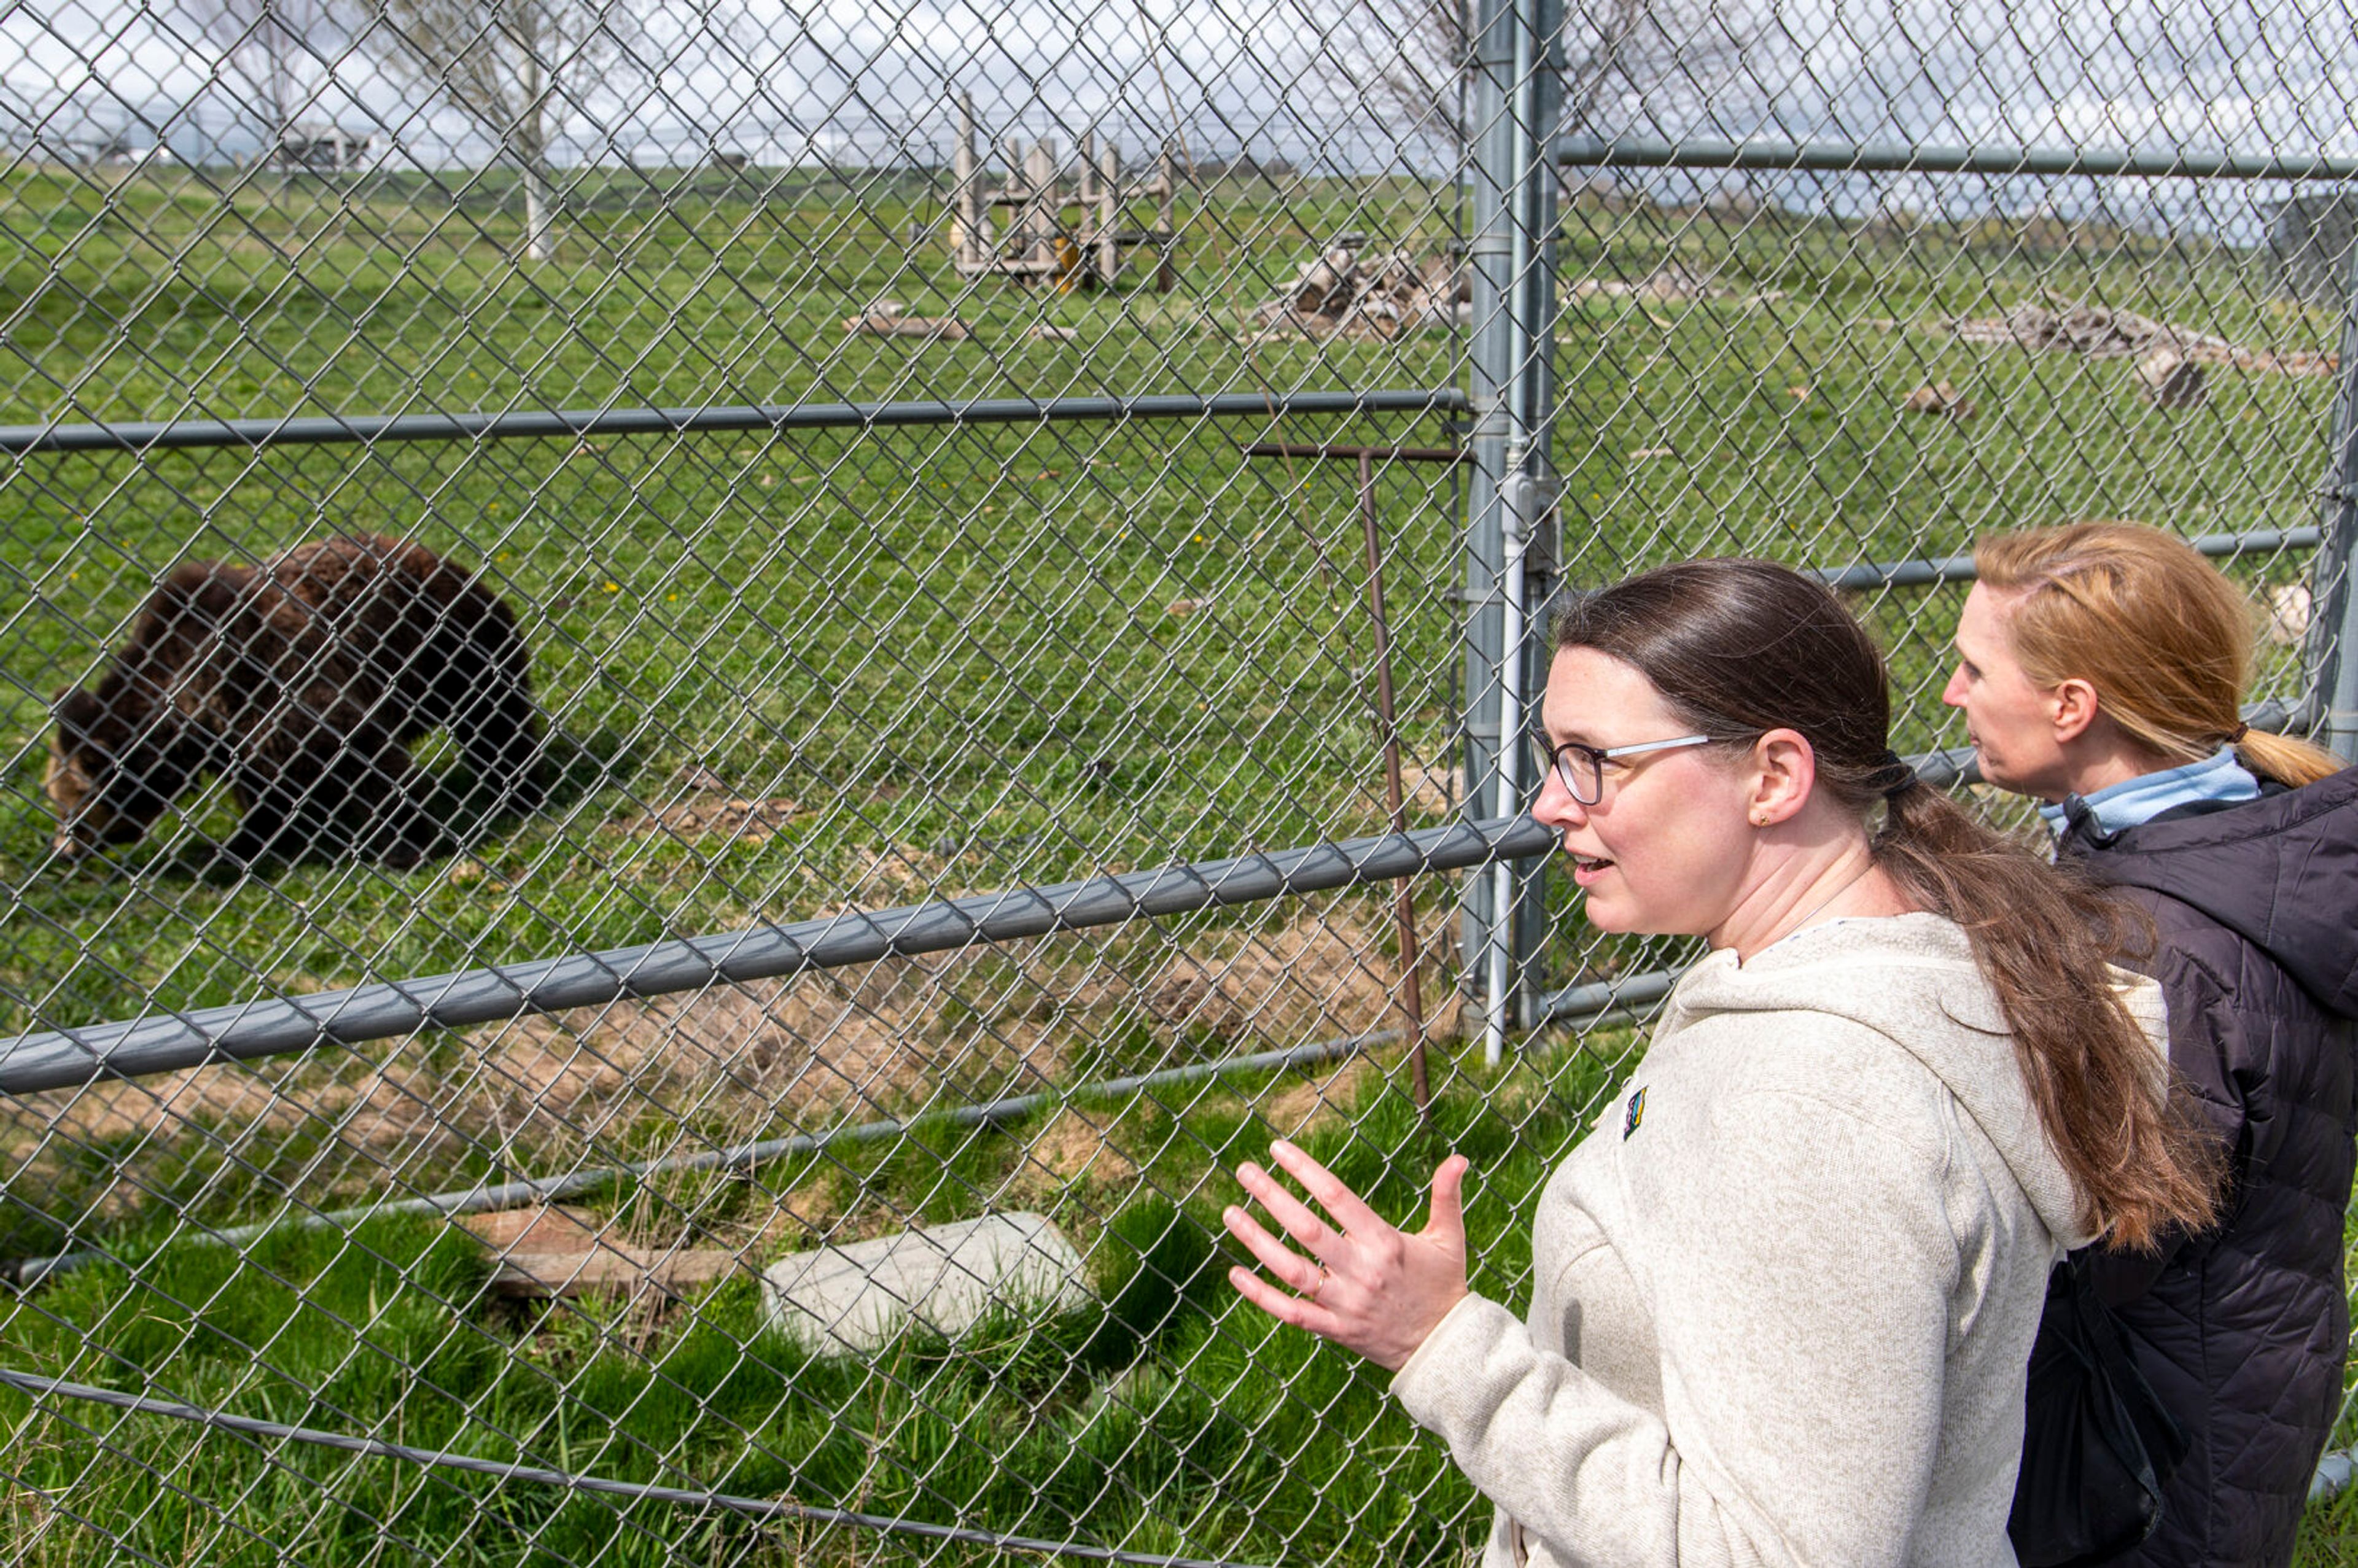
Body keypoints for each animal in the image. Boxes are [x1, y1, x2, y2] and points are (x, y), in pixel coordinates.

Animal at [45, 532, 542, 863]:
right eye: (55, 799)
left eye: (73, 807)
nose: (63, 849)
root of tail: (436, 556)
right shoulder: (237, 735)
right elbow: (262, 791)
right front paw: (243, 843)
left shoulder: (273, 678)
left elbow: (358, 755)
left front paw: (406, 841)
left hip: (447, 644)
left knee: (492, 715)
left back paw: (518, 784)